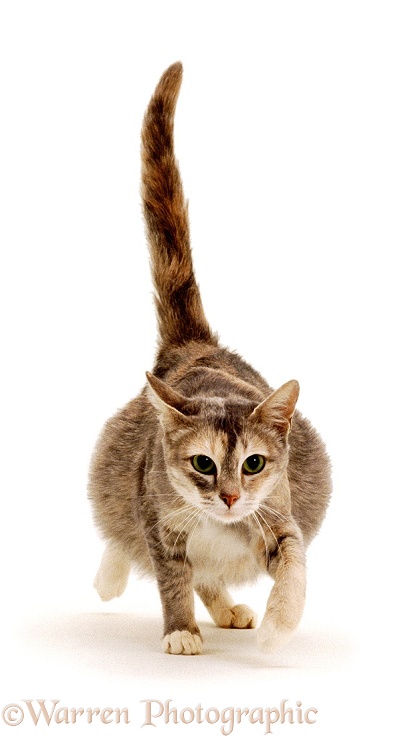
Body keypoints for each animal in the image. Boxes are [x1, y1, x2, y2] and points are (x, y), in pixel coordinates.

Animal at [88, 60, 332, 652]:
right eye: (203, 463)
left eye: (254, 463)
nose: (228, 497)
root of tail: (197, 343)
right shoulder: (157, 524)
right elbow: (173, 578)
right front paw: (181, 632)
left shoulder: (281, 516)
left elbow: (294, 568)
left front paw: (277, 629)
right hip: (118, 469)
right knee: (120, 527)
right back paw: (112, 578)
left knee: (211, 573)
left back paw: (228, 609)